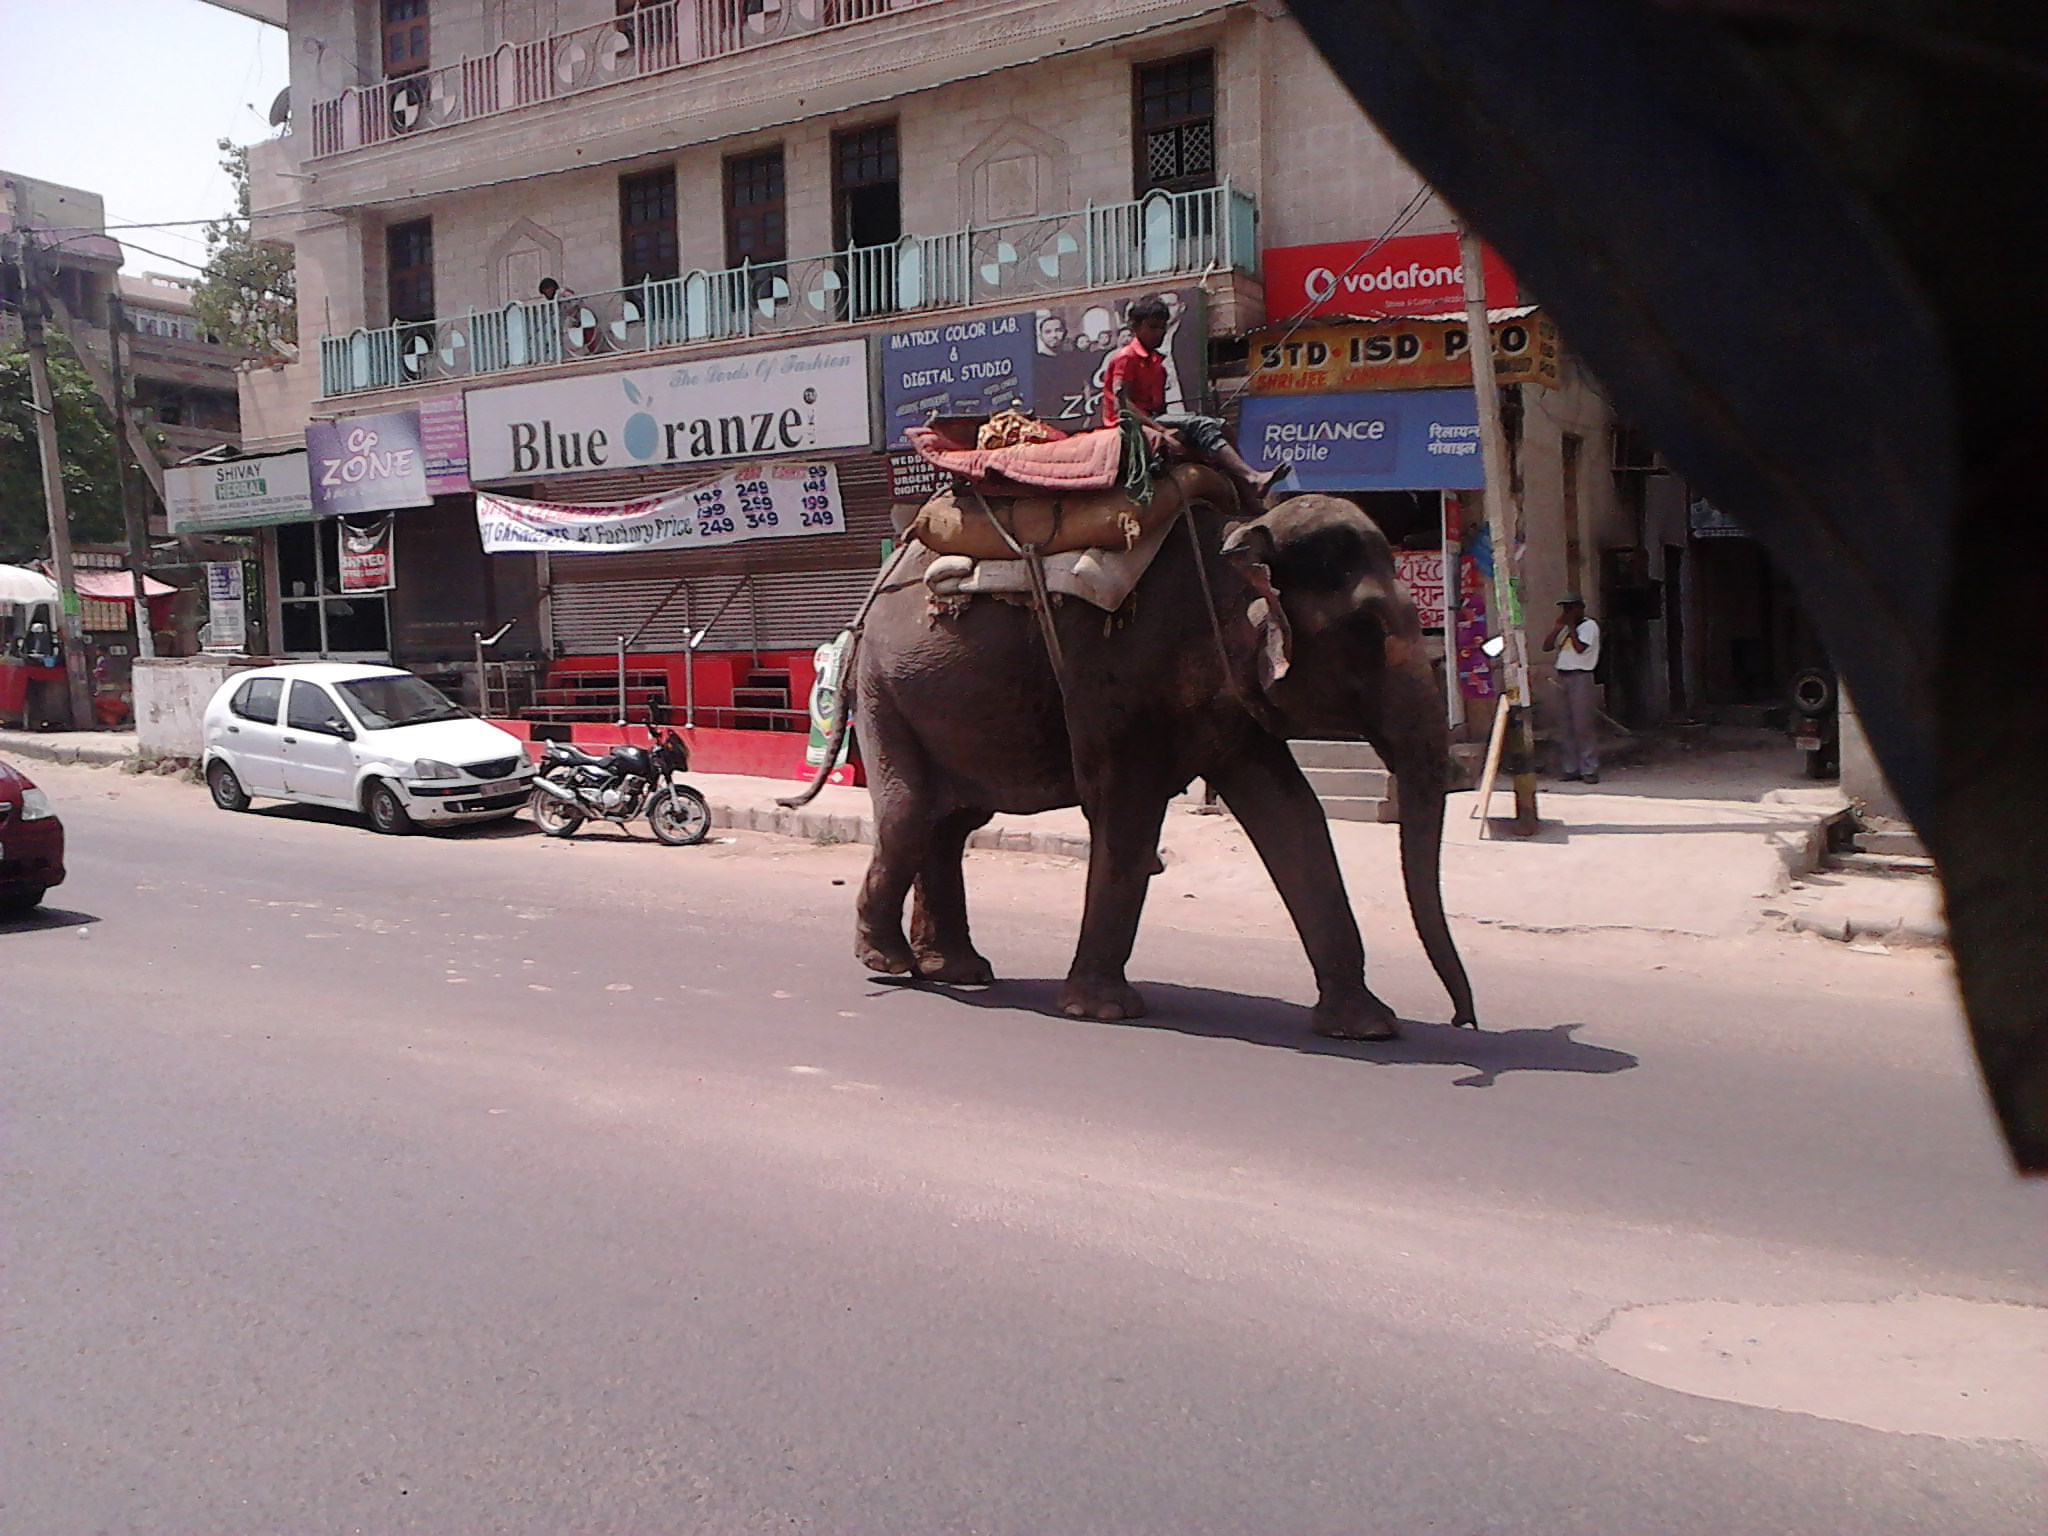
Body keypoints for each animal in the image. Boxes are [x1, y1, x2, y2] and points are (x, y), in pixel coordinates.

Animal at [843, 475, 1474, 1040]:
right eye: (1364, 629)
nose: (1462, 1020)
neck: (1235, 541)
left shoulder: (1229, 703)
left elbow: (1293, 816)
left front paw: (1368, 1028)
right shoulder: (1118, 676)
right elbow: (1127, 816)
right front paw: (1103, 1012)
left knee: (949, 822)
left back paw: (957, 970)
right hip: (886, 693)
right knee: (911, 814)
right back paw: (890, 963)